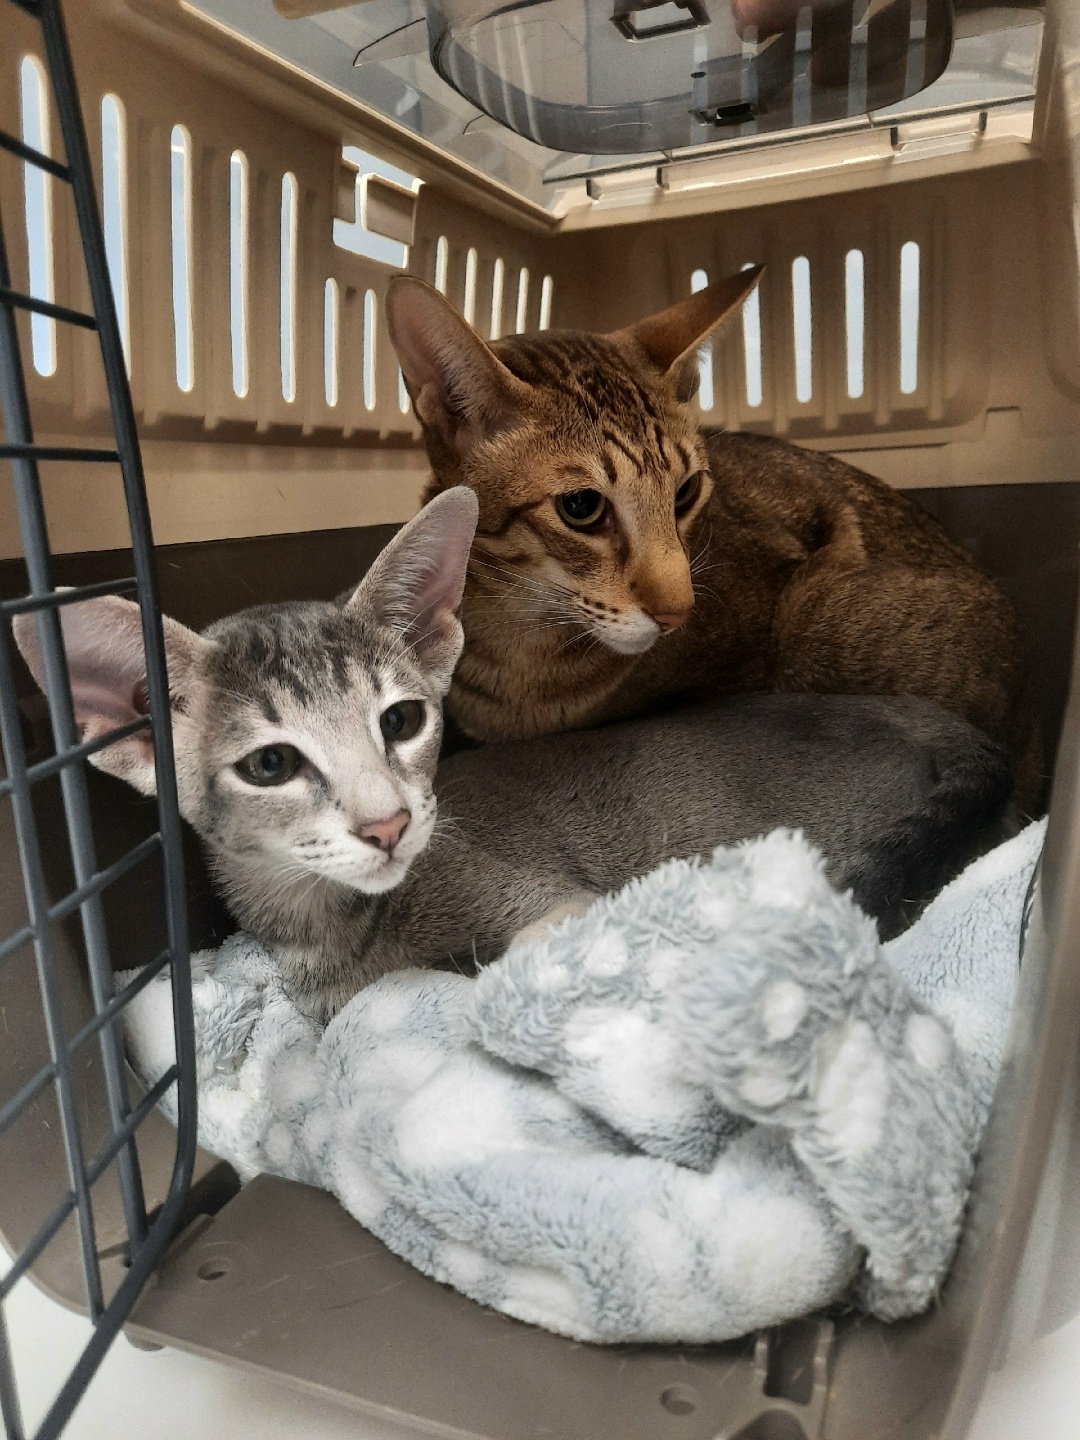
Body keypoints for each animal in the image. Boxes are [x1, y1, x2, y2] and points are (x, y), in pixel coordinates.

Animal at [14, 490, 1012, 1022]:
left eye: (401, 720)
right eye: (270, 766)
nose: (389, 825)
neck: (338, 936)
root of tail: (949, 728)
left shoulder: (554, 907)